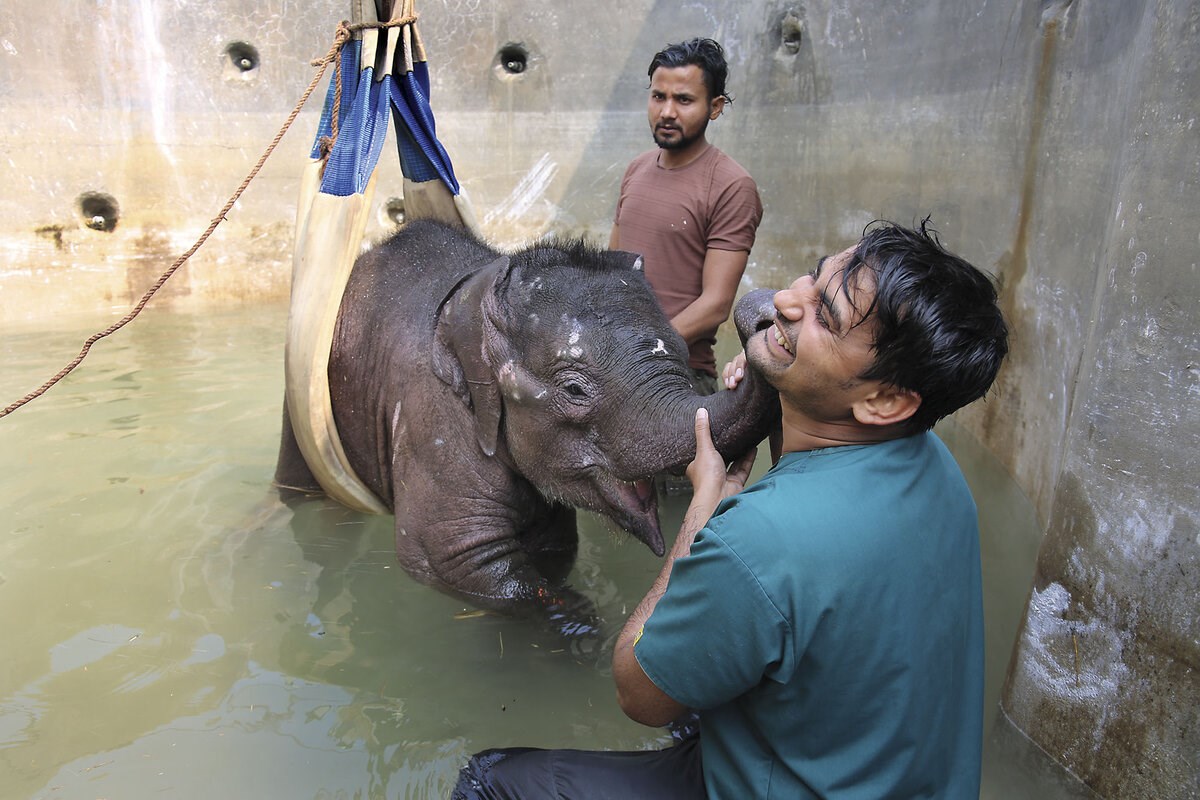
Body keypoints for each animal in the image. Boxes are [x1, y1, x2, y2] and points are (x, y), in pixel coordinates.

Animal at [275, 219, 780, 636]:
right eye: (574, 389)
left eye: (680, 349)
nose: (765, 313)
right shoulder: (433, 421)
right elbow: (447, 558)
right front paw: (584, 635)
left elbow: (554, 546)